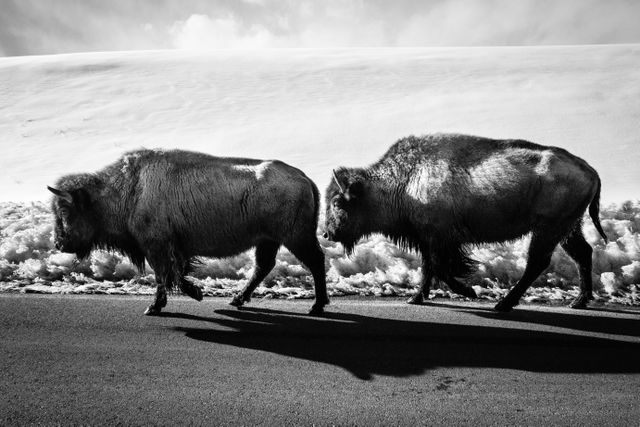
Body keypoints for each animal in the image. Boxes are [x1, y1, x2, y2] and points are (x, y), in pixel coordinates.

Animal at [48, 149, 330, 316]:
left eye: (65, 211)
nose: (59, 243)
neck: (128, 190)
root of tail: (304, 178)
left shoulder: (157, 246)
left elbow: (165, 275)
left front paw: (157, 306)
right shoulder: (173, 248)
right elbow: (174, 274)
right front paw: (193, 294)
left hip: (295, 238)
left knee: (315, 261)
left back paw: (316, 306)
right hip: (269, 240)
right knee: (264, 266)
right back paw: (237, 299)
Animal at [322, 132, 608, 312]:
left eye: (337, 202)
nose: (326, 234)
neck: (404, 181)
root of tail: (591, 171)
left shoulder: (440, 239)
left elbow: (441, 268)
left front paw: (469, 292)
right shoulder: (427, 239)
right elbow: (428, 268)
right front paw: (416, 298)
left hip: (548, 229)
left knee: (538, 262)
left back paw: (504, 304)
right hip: (568, 229)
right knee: (582, 253)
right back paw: (578, 301)